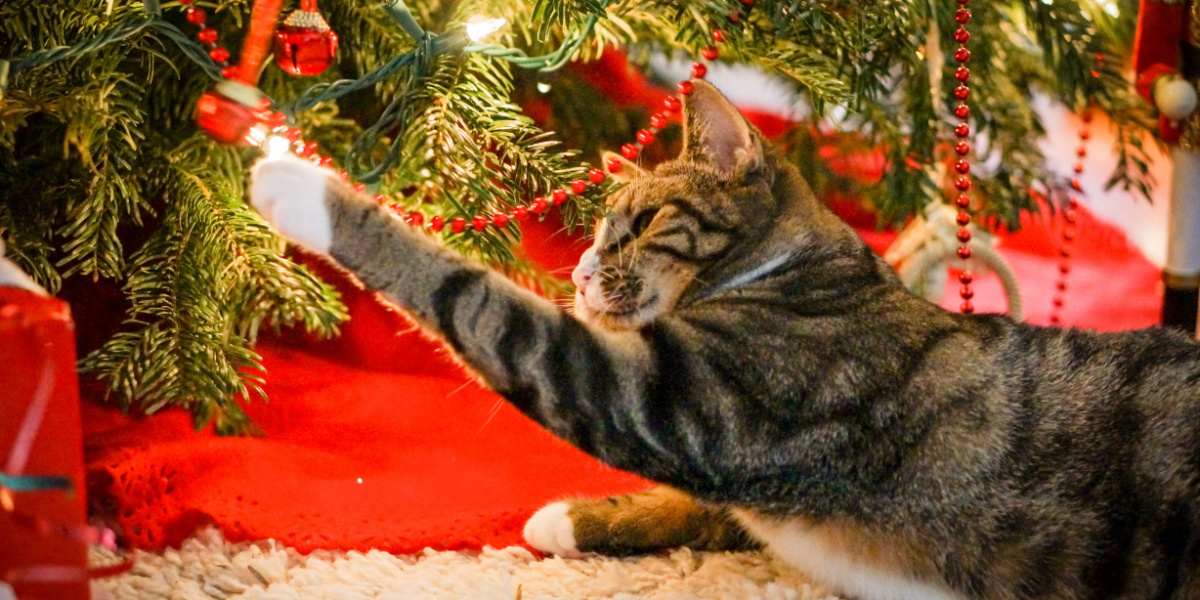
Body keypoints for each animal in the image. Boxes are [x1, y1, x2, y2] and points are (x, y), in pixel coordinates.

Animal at [250, 81, 1200, 600]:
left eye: (642, 224)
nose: (582, 271)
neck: (798, 272)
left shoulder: (687, 403)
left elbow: (478, 301)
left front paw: (300, 186)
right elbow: (696, 507)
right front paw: (576, 518)